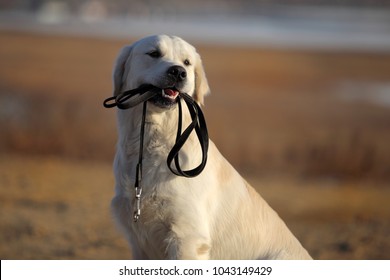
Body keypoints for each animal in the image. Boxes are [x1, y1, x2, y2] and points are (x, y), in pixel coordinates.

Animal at [109, 35, 310, 260]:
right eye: (154, 53)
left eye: (187, 62)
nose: (178, 72)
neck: (152, 141)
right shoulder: (139, 242)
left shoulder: (187, 238)